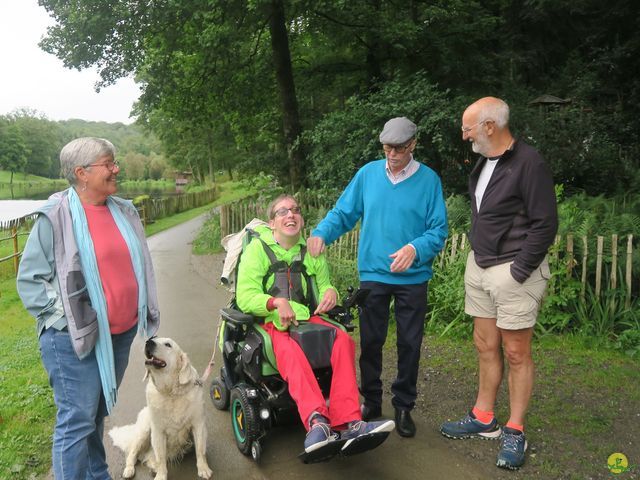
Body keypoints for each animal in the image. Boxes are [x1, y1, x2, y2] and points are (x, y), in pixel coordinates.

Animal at [108, 338, 212, 480]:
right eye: (153, 339)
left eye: (168, 345)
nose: (148, 342)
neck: (171, 393)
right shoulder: (158, 431)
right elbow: (161, 457)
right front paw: (161, 475)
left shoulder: (198, 424)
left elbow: (201, 450)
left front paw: (203, 469)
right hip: (144, 431)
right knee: (133, 454)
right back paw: (130, 469)